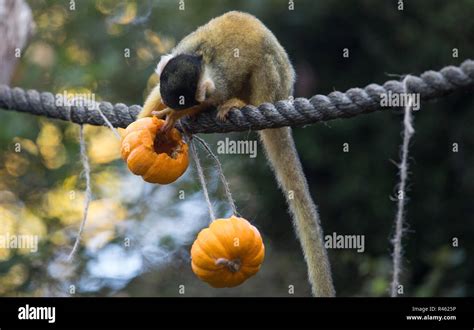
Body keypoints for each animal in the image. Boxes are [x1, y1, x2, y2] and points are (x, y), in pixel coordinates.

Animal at [139, 10, 336, 296]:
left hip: (279, 83)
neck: (201, 60)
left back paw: (243, 103)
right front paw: (142, 121)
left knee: (265, 64)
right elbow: (158, 93)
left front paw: (175, 115)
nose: (175, 109)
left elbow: (209, 99)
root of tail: (287, 92)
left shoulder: (216, 85)